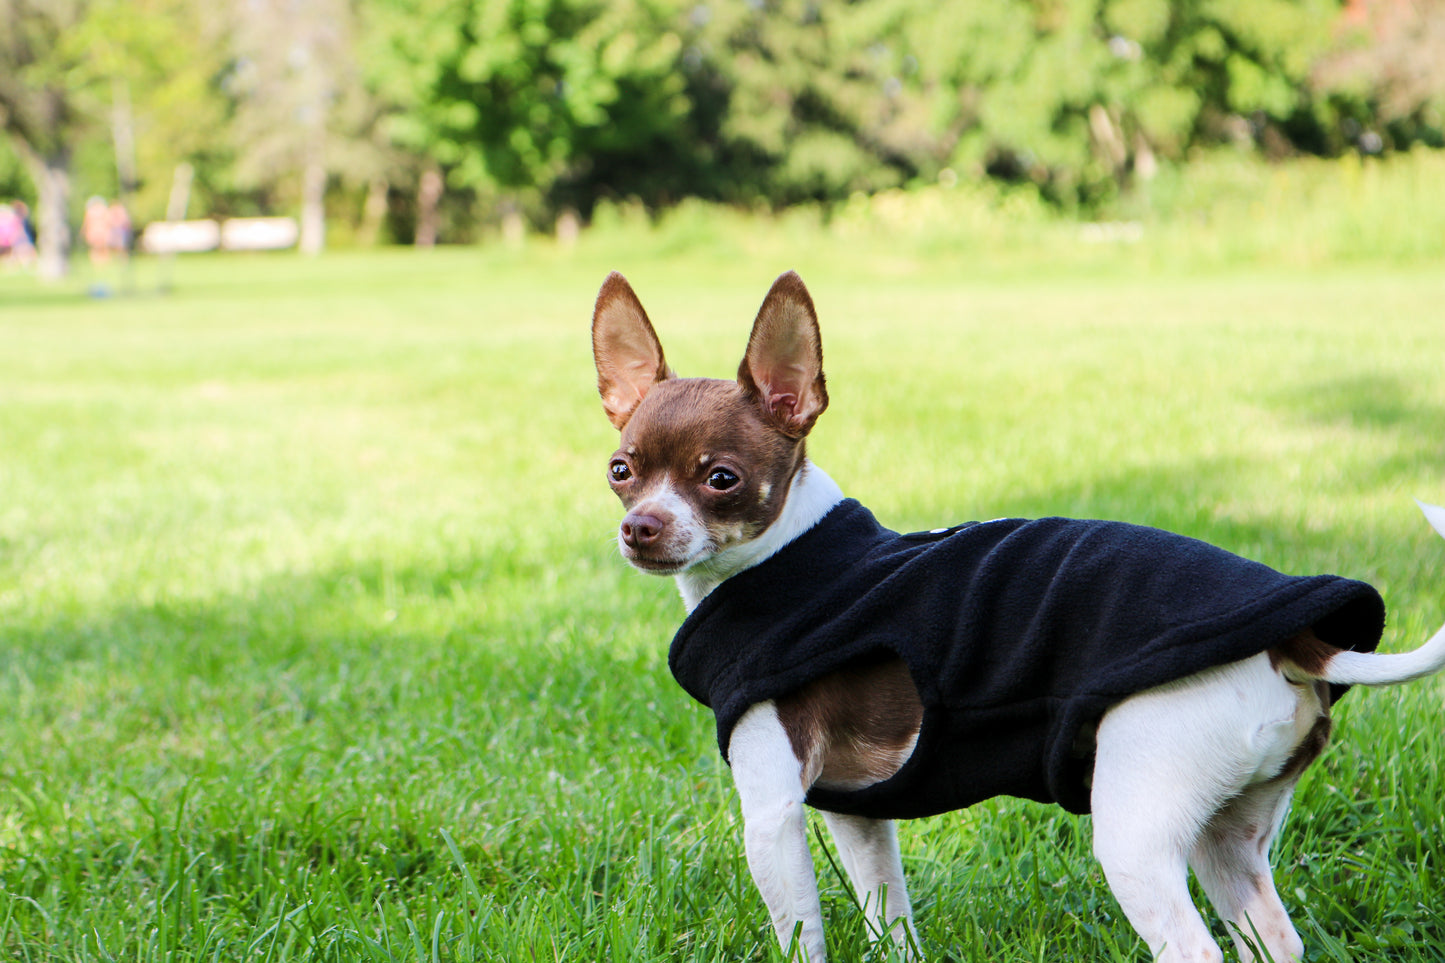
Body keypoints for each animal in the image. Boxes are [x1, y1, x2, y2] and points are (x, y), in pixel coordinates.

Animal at [589, 270, 1445, 960]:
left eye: (721, 479)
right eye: (621, 470)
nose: (641, 528)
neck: (785, 556)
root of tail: (1292, 640)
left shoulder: (770, 816)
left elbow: (802, 935)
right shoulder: (859, 817)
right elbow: (889, 916)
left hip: (1138, 824)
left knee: (1191, 947)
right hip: (1227, 834)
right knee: (1271, 936)